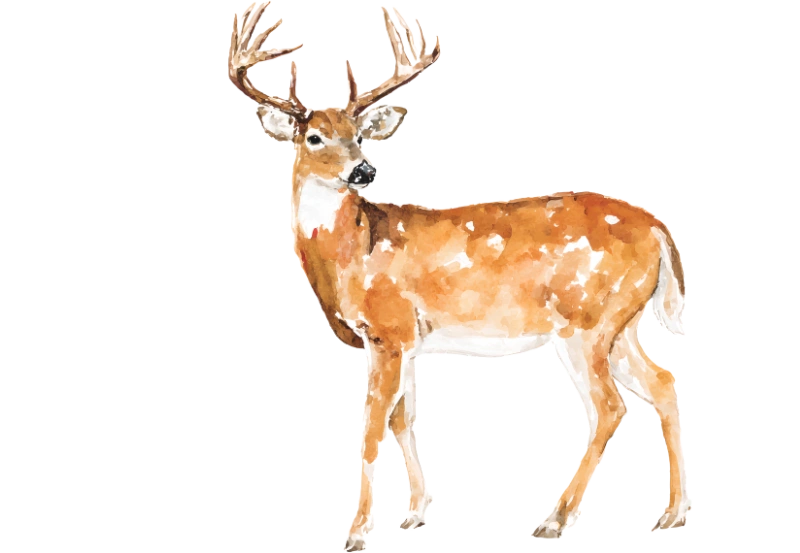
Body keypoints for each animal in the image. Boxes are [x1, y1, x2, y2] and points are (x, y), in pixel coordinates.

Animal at [228, 2, 690, 549]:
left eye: (360, 136)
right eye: (314, 137)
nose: (364, 171)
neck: (350, 254)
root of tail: (661, 231)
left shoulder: (389, 330)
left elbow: (371, 429)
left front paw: (358, 531)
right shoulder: (402, 340)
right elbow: (403, 419)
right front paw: (413, 515)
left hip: (588, 319)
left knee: (610, 404)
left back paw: (555, 520)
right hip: (622, 322)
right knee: (663, 381)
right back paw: (670, 515)